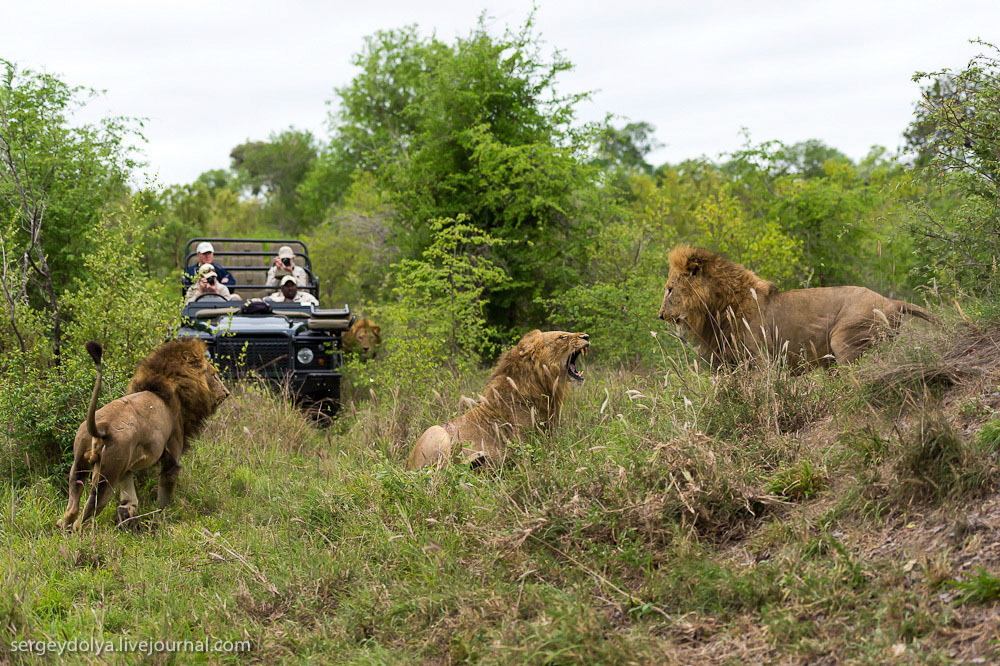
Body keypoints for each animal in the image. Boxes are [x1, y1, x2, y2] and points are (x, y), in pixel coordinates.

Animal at [58, 338, 230, 528]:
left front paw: (127, 519)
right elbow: (165, 493)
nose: (227, 393)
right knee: (83, 518)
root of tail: (102, 426)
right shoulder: (172, 455)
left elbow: (128, 503)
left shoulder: (126, 469)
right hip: (107, 475)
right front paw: (163, 515)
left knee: (71, 509)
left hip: (79, 463)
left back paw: (61, 526)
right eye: (214, 375)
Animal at [406, 330, 592, 470]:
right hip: (437, 432)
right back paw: (477, 459)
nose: (587, 336)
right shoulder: (525, 446)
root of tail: (408, 468)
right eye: (562, 337)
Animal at [656, 244, 936, 368]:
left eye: (669, 289)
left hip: (846, 340)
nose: (659, 315)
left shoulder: (761, 359)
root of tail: (892, 301)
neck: (718, 308)